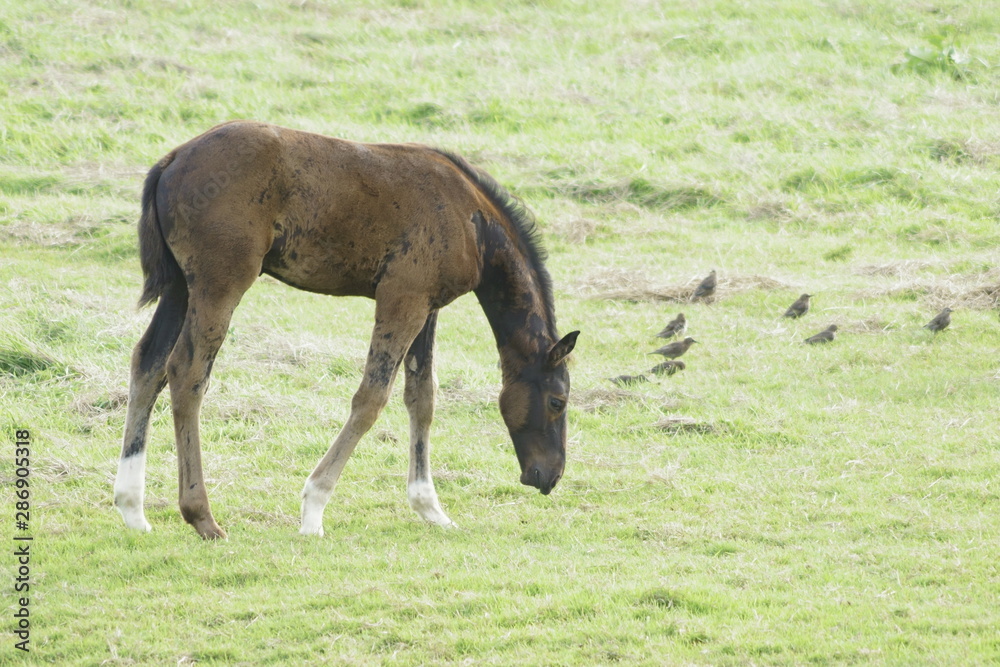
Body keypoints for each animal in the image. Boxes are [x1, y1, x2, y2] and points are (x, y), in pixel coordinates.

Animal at [113, 121, 579, 539]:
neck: (473, 221)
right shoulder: (402, 299)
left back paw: (133, 509)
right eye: (557, 402)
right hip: (219, 284)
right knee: (187, 372)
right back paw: (202, 517)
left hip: (180, 287)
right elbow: (371, 398)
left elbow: (422, 398)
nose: (550, 476)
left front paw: (430, 508)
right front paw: (313, 509)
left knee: (148, 364)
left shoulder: (426, 308)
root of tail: (173, 160)